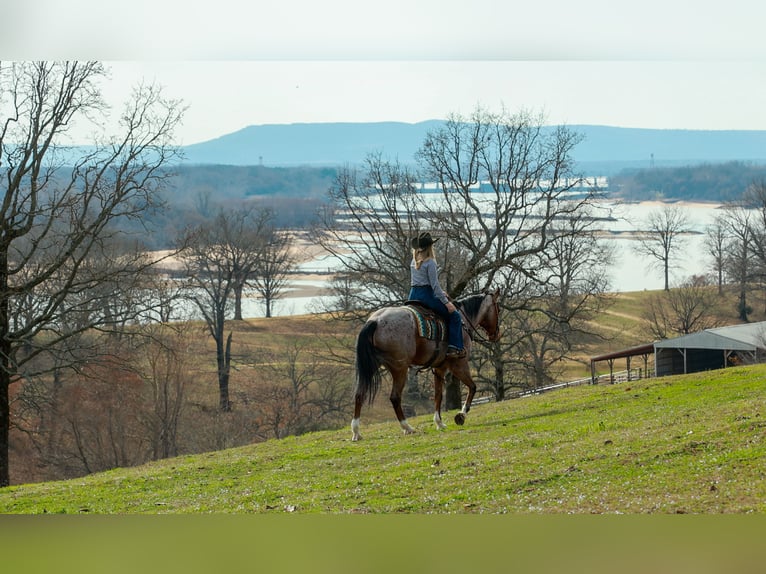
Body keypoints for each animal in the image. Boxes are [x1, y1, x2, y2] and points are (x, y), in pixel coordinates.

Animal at [351, 289, 501, 441]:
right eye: (498, 309)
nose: (496, 334)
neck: (463, 323)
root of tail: (375, 320)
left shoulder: (439, 368)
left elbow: (438, 395)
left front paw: (439, 423)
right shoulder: (459, 365)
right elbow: (472, 387)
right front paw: (461, 415)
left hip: (373, 366)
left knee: (359, 394)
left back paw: (356, 432)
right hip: (400, 369)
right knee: (395, 397)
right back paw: (407, 427)